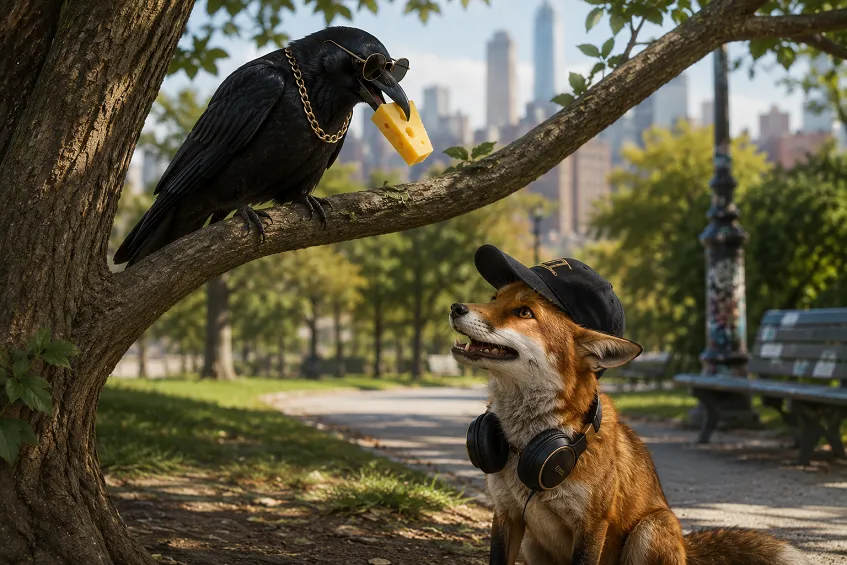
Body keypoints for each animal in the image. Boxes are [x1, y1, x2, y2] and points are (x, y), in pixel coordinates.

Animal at [448, 245, 809, 565]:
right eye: (494, 299)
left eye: (524, 313)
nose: (455, 307)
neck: (533, 445)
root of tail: (685, 548)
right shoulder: (506, 515)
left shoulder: (592, 526)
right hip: (533, 546)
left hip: (648, 530)